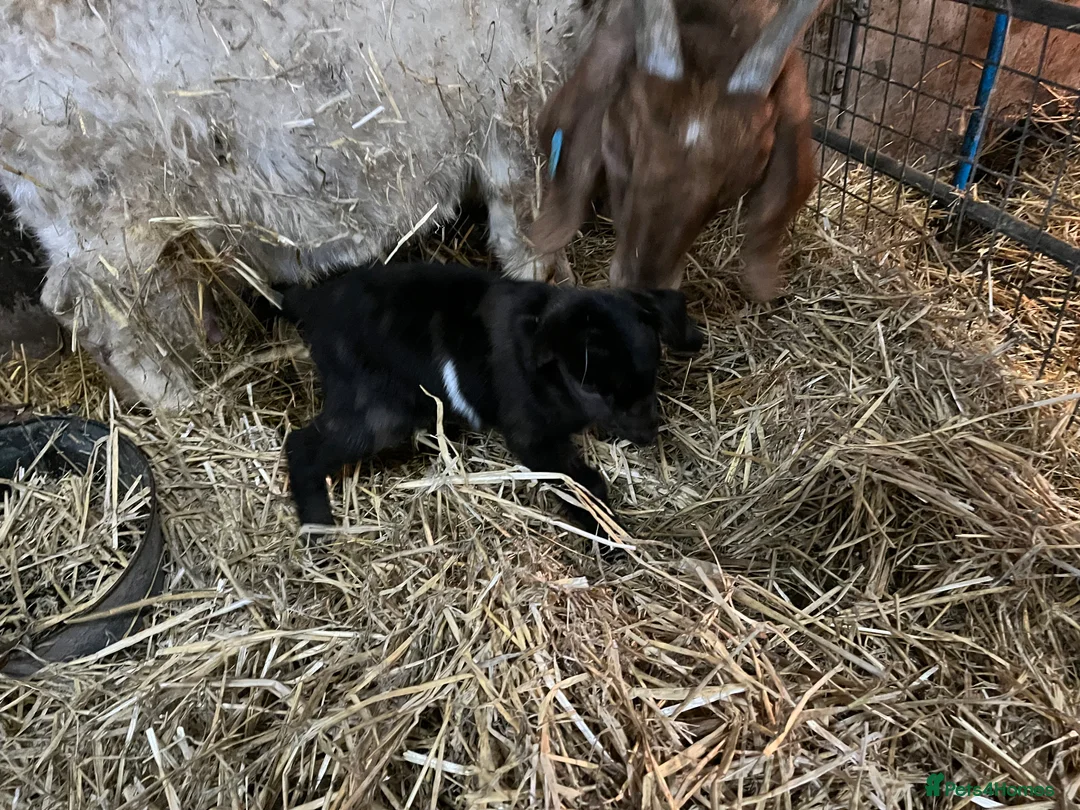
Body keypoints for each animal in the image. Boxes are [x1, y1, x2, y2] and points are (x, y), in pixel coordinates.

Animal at [1, 0, 821, 410]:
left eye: (739, 171)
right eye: (623, 143)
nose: (647, 289)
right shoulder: (516, 126)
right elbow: (527, 245)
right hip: (98, 194)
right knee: (96, 309)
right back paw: (184, 403)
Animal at [280, 260, 704, 541]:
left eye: (652, 373)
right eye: (592, 388)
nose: (649, 434)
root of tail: (314, 304)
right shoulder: (532, 437)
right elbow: (583, 484)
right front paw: (609, 537)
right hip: (380, 408)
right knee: (301, 445)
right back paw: (318, 526)